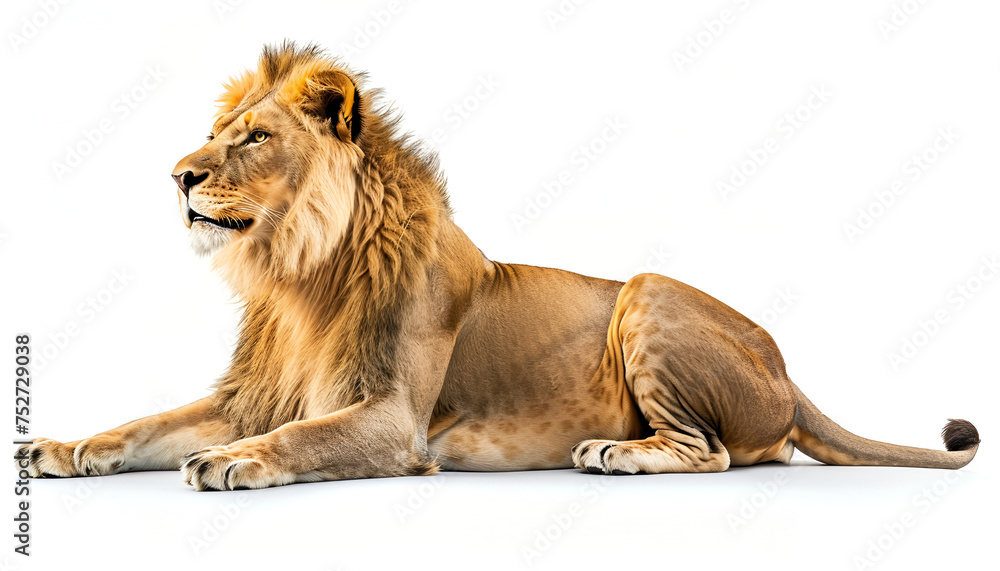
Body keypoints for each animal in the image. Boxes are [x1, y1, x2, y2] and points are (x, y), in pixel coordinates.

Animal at [16, 42, 979, 490]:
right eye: (216, 133)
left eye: (253, 138)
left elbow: (298, 437)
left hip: (648, 292)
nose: (178, 174)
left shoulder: (393, 419)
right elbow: (146, 422)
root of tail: (787, 370)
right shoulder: (250, 392)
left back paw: (615, 453)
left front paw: (233, 461)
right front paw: (63, 445)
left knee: (715, 453)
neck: (294, 274)